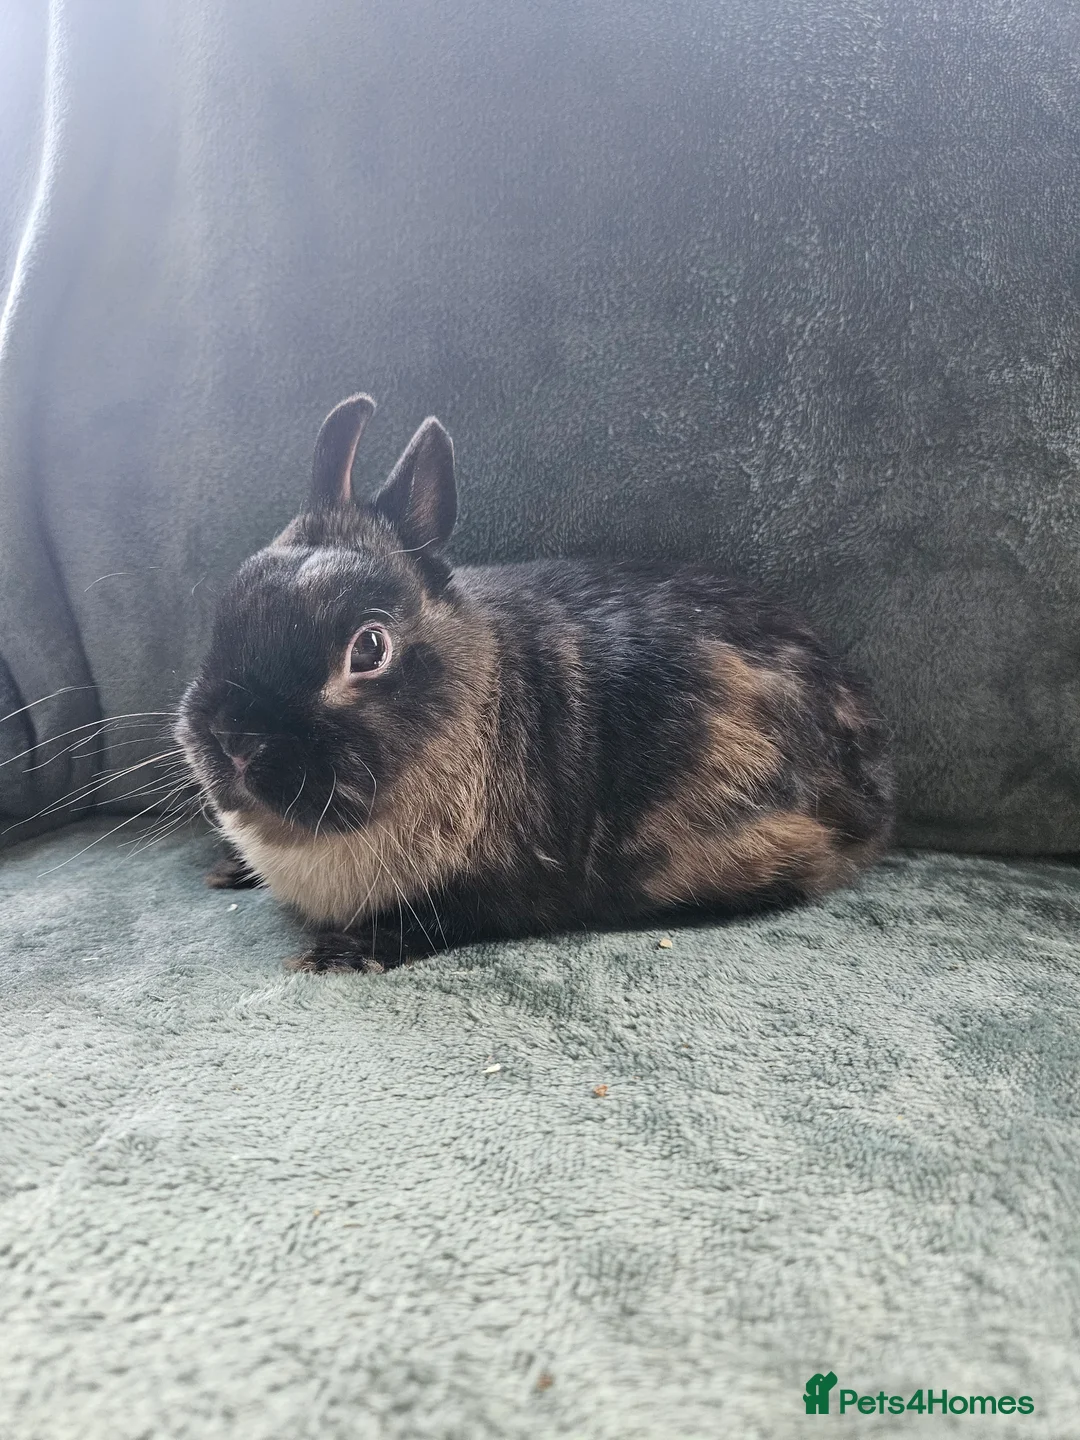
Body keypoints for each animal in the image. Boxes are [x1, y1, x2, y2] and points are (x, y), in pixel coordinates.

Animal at [176, 394, 893, 973]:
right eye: (230, 605)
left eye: (370, 648)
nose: (234, 738)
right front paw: (229, 871)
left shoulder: (496, 889)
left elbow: (437, 919)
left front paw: (341, 955)